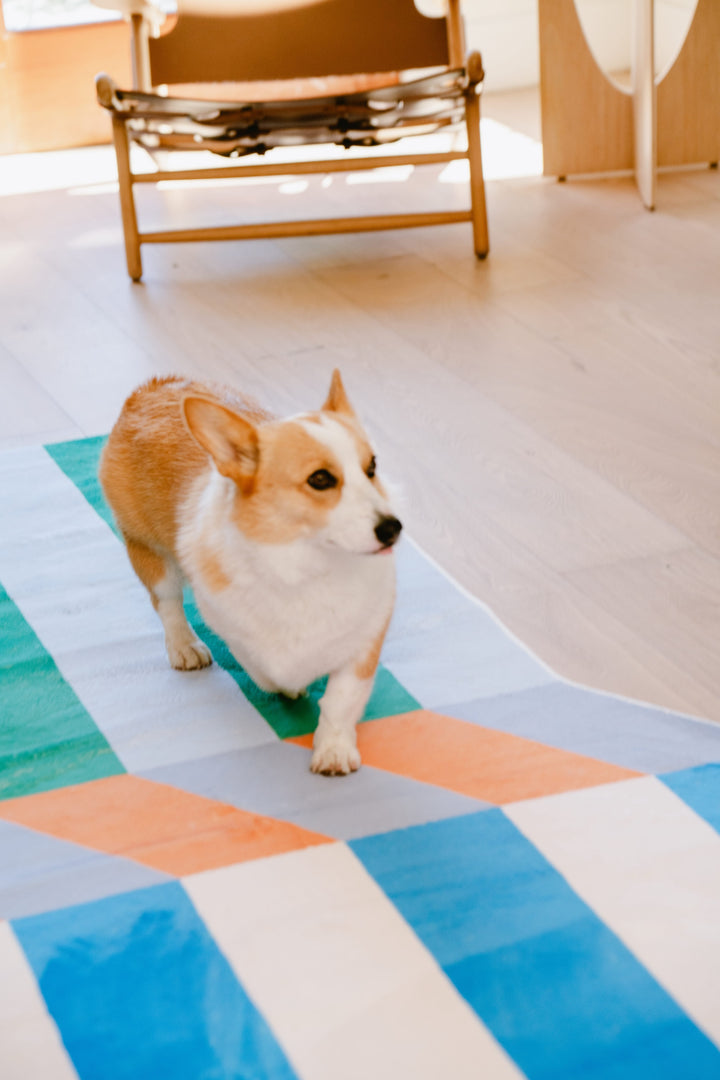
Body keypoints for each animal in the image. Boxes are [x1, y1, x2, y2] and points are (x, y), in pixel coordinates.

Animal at [97, 371, 399, 777]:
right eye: (320, 479)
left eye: (372, 468)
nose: (393, 528)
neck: (310, 566)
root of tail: (153, 387)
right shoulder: (233, 626)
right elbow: (265, 671)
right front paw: (289, 686)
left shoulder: (365, 639)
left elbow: (342, 699)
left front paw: (333, 750)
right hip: (150, 553)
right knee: (168, 603)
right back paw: (184, 647)